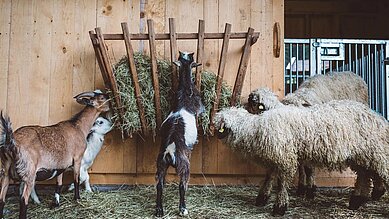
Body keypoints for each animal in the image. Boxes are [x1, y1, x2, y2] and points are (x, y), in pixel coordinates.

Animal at [0, 90, 110, 218]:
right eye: (102, 98)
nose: (110, 100)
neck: (78, 127)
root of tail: (10, 142)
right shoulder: (77, 158)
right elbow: (77, 179)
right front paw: (77, 198)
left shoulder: (60, 165)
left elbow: (59, 184)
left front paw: (56, 203)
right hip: (29, 173)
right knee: (23, 200)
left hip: (6, 171)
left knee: (2, 198)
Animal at [155, 51, 203, 217]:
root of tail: (170, 150)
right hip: (184, 165)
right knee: (182, 185)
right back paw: (183, 209)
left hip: (160, 164)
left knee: (159, 185)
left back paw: (159, 210)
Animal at [214, 100, 388, 216]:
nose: (213, 132)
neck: (255, 129)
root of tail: (377, 117)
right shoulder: (274, 158)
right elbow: (269, 178)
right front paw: (262, 198)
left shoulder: (285, 157)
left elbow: (282, 182)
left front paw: (279, 207)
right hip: (362, 156)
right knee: (364, 176)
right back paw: (356, 201)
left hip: (375, 153)